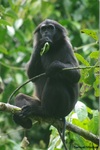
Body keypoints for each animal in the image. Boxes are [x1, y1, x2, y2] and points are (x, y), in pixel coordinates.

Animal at [13, 19, 80, 149]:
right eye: (43, 29)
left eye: (50, 28)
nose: (46, 33)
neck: (53, 47)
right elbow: (32, 75)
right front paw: (41, 43)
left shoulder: (67, 46)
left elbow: (76, 76)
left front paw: (54, 66)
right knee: (20, 97)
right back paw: (24, 120)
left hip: (65, 107)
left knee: (54, 79)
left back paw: (44, 111)